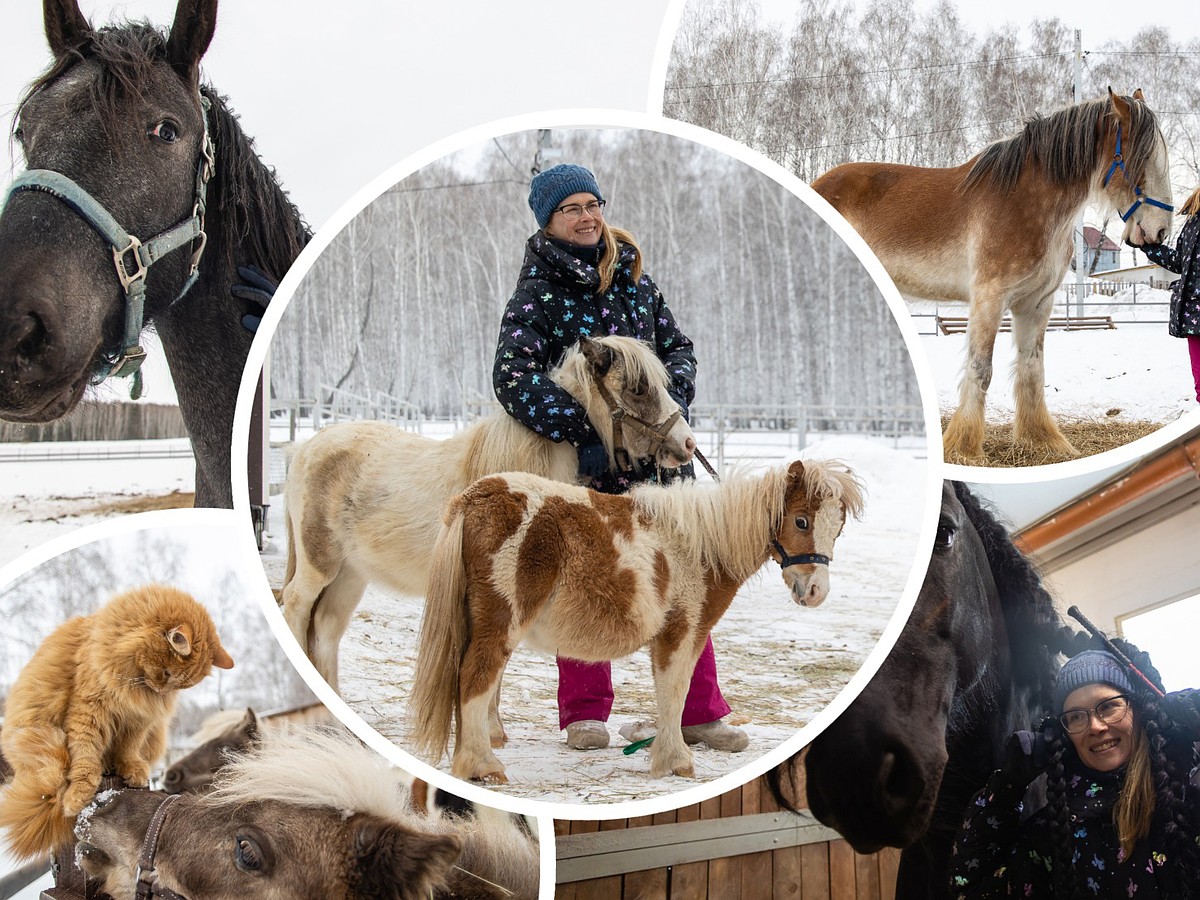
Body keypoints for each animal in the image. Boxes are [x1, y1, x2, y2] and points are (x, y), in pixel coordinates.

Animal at [0, 585, 232, 859]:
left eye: (181, 685)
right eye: (168, 673)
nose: (163, 691)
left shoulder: (137, 721)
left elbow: (128, 750)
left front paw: (132, 771)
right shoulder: (90, 710)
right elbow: (85, 757)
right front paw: (77, 795)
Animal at [279, 336, 696, 696]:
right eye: (638, 388)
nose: (688, 443)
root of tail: (305, 448)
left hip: (351, 573)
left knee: (326, 628)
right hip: (320, 565)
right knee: (296, 606)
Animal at [410, 458, 864, 782]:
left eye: (838, 528)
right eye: (801, 520)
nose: (815, 592)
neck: (702, 546)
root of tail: (476, 496)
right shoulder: (681, 632)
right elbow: (674, 693)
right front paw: (675, 761)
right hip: (501, 621)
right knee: (475, 677)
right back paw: (480, 765)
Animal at [816, 90, 1171, 465]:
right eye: (1144, 157)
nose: (1160, 231)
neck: (1025, 202)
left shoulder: (1036, 304)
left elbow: (1032, 369)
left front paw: (1042, 441)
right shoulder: (989, 299)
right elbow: (980, 369)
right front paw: (965, 449)